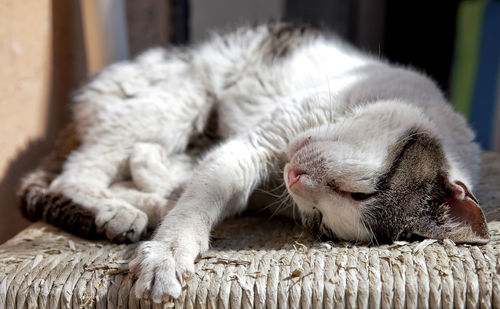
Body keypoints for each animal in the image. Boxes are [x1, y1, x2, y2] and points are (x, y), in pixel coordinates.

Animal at [18, 22, 488, 302]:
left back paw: (132, 208)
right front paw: (167, 255)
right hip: (173, 103)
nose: (297, 177)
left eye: (319, 219)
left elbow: (182, 185)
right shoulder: (258, 143)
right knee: (75, 172)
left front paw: (159, 199)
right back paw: (118, 210)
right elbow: (195, 201)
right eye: (361, 192)